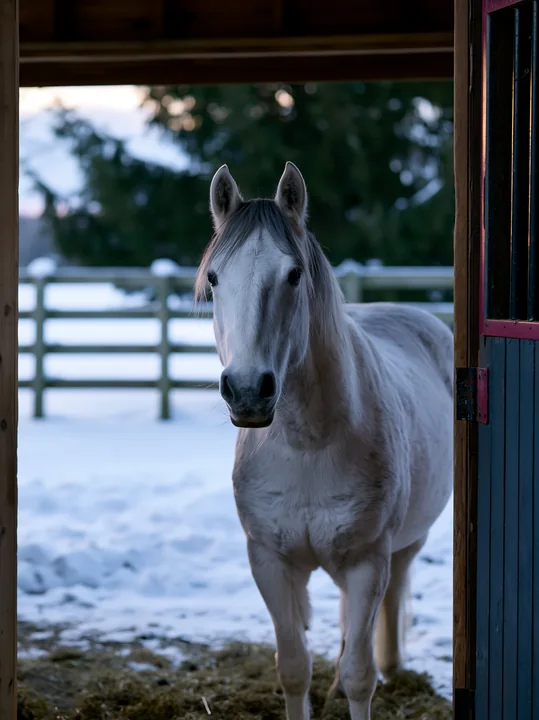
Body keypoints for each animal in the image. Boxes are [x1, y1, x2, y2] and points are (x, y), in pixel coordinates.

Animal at [195, 162, 453, 720]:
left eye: (294, 274)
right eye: (214, 278)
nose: (247, 390)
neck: (307, 444)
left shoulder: (367, 562)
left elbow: (359, 674)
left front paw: (360, 680)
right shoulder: (270, 561)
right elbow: (293, 667)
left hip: (404, 545)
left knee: (389, 605)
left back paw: (394, 667)